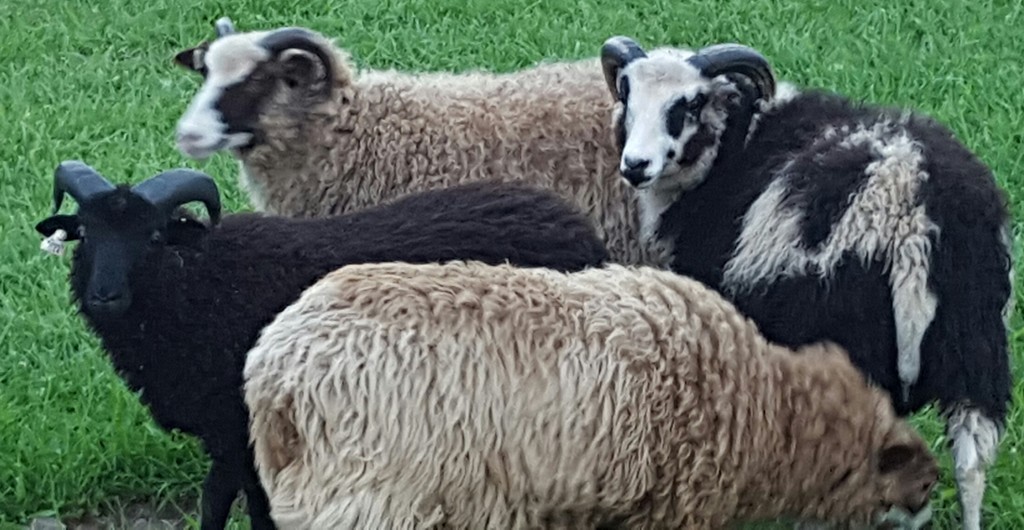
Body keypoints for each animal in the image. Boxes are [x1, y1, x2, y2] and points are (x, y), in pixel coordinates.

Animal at [33, 160, 610, 530]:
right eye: (85, 232)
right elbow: (226, 502)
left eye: (153, 236)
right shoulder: (237, 433)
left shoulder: (241, 426)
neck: (198, 283)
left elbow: (235, 505)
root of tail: (580, 227)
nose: (104, 295)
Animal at [597, 36, 1015, 530]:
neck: (729, 148)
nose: (635, 165)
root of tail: (911, 208)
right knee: (971, 464)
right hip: (978, 343)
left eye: (691, 103)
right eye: (626, 94)